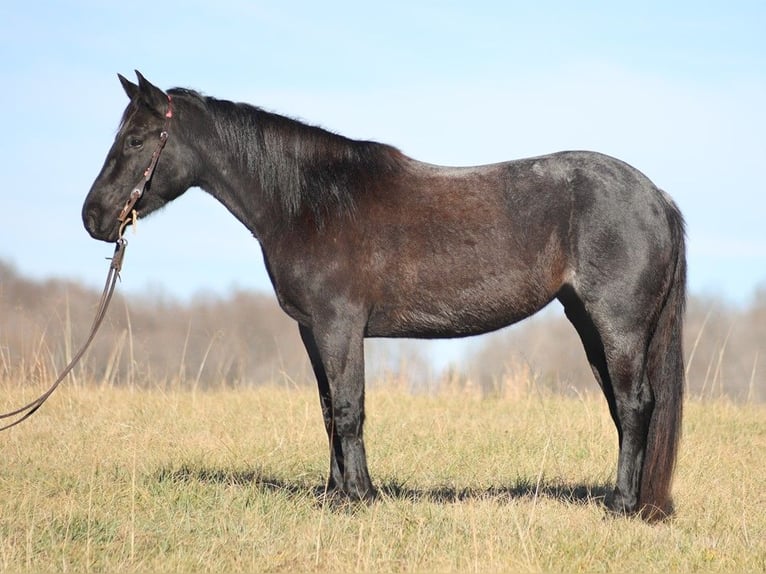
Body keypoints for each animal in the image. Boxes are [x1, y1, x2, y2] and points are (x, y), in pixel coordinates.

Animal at [81, 72, 688, 520]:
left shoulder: (340, 325)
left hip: (617, 326)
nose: (94, 218)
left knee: (635, 405)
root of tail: (655, 196)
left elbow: (351, 408)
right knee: (623, 407)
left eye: (136, 140)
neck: (310, 201)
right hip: (589, 324)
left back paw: (621, 505)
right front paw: (335, 493)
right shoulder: (312, 330)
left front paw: (359, 498)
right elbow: (329, 408)